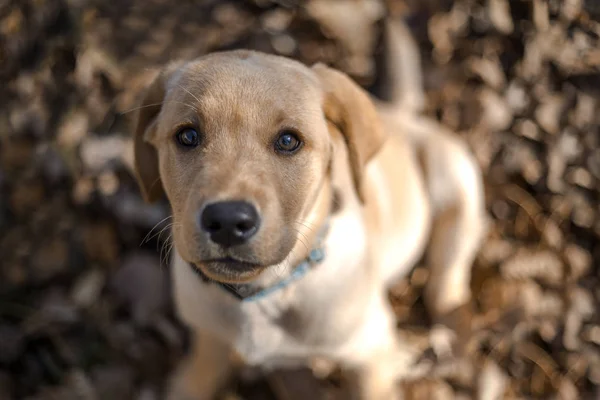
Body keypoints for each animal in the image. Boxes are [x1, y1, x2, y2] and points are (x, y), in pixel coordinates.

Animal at [132, 19, 488, 400]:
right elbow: (199, 374)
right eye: (187, 136)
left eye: (289, 141)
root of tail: (402, 116)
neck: (265, 294)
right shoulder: (209, 337)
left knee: (447, 277)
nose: (227, 221)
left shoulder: (372, 354)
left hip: (456, 178)